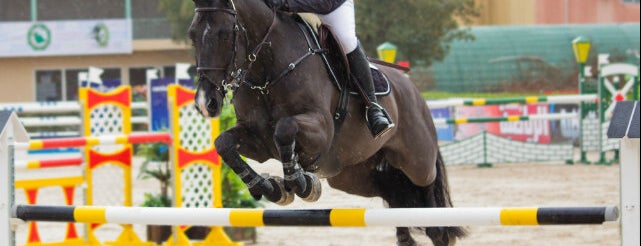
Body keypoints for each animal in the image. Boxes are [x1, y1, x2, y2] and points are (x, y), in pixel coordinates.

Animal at [190, 0, 464, 244]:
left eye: (225, 33)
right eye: (192, 35)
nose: (206, 103)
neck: (266, 72)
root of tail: (413, 89)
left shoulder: (321, 129)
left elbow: (285, 129)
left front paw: (300, 182)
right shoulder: (259, 141)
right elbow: (224, 143)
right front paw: (270, 188)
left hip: (417, 162)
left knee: (429, 198)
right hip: (351, 174)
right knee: (393, 192)